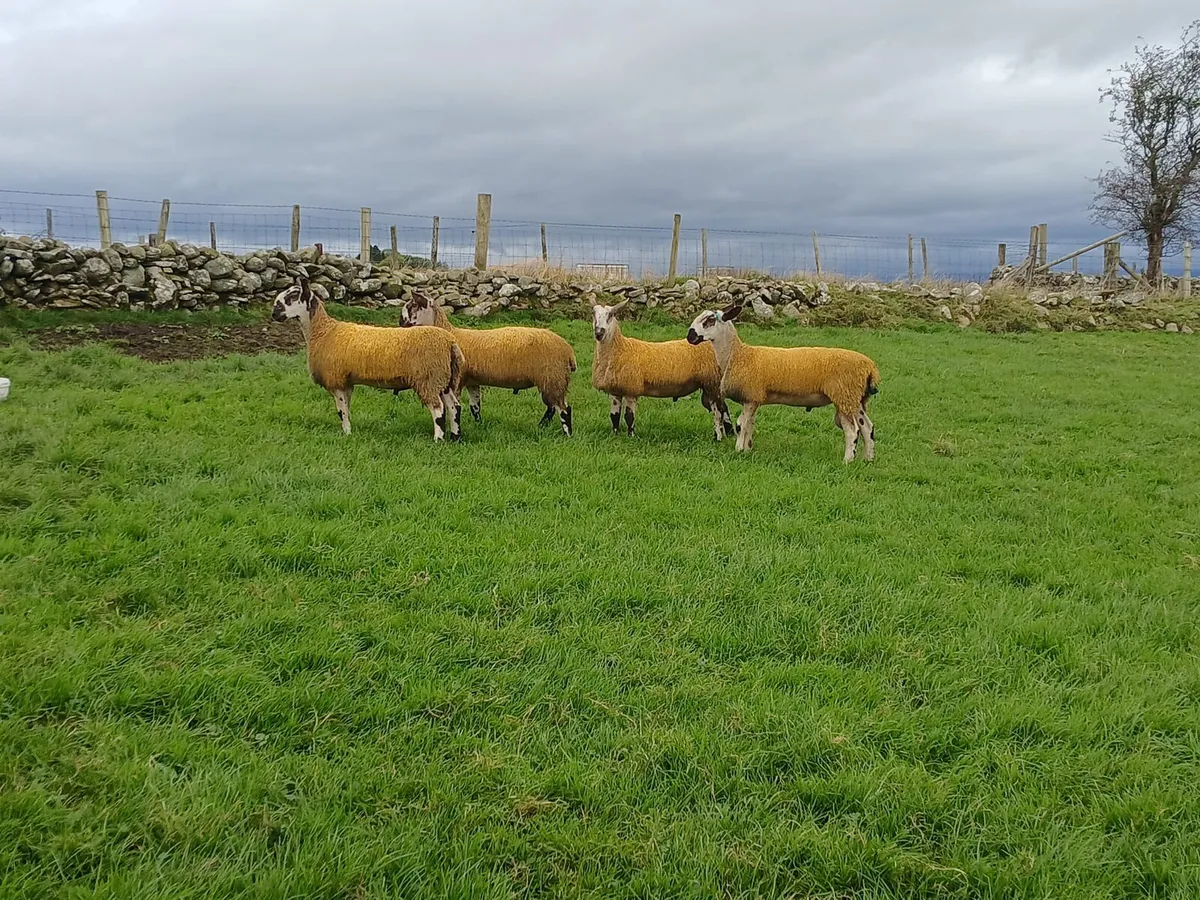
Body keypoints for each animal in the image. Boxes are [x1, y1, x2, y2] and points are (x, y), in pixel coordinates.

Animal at [271, 277, 465, 442]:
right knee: (454, 406)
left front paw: (346, 434)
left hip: (429, 378)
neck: (322, 331)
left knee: (438, 409)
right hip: (444, 379)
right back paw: (455, 437)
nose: (274, 313)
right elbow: (347, 409)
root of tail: (450, 343)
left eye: (292, 297)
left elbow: (341, 411)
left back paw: (438, 439)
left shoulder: (336, 380)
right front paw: (349, 431)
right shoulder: (346, 381)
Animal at [399, 293, 577, 436]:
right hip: (552, 379)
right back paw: (542, 426)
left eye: (412, 306)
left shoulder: (459, 381)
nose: (400, 323)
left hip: (553, 376)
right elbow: (475, 407)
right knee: (552, 407)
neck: (450, 332)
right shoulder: (472, 381)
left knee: (563, 409)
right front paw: (478, 425)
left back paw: (567, 434)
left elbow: (454, 406)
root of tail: (568, 351)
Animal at [591, 300, 735, 439]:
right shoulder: (615, 390)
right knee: (723, 408)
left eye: (611, 315)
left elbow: (629, 416)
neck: (620, 348)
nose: (599, 333)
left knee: (720, 409)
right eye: (594, 314)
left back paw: (722, 435)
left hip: (712, 383)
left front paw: (631, 436)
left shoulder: (631, 388)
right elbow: (614, 416)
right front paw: (614, 435)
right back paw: (729, 433)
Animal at [686, 302, 880, 462]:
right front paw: (748, 449)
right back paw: (867, 459)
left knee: (853, 431)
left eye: (710, 320)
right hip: (856, 398)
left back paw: (847, 460)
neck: (738, 355)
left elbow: (741, 425)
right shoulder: (755, 398)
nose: (690, 337)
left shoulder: (750, 396)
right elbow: (750, 425)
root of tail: (870, 366)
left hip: (843, 395)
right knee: (867, 427)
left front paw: (738, 450)